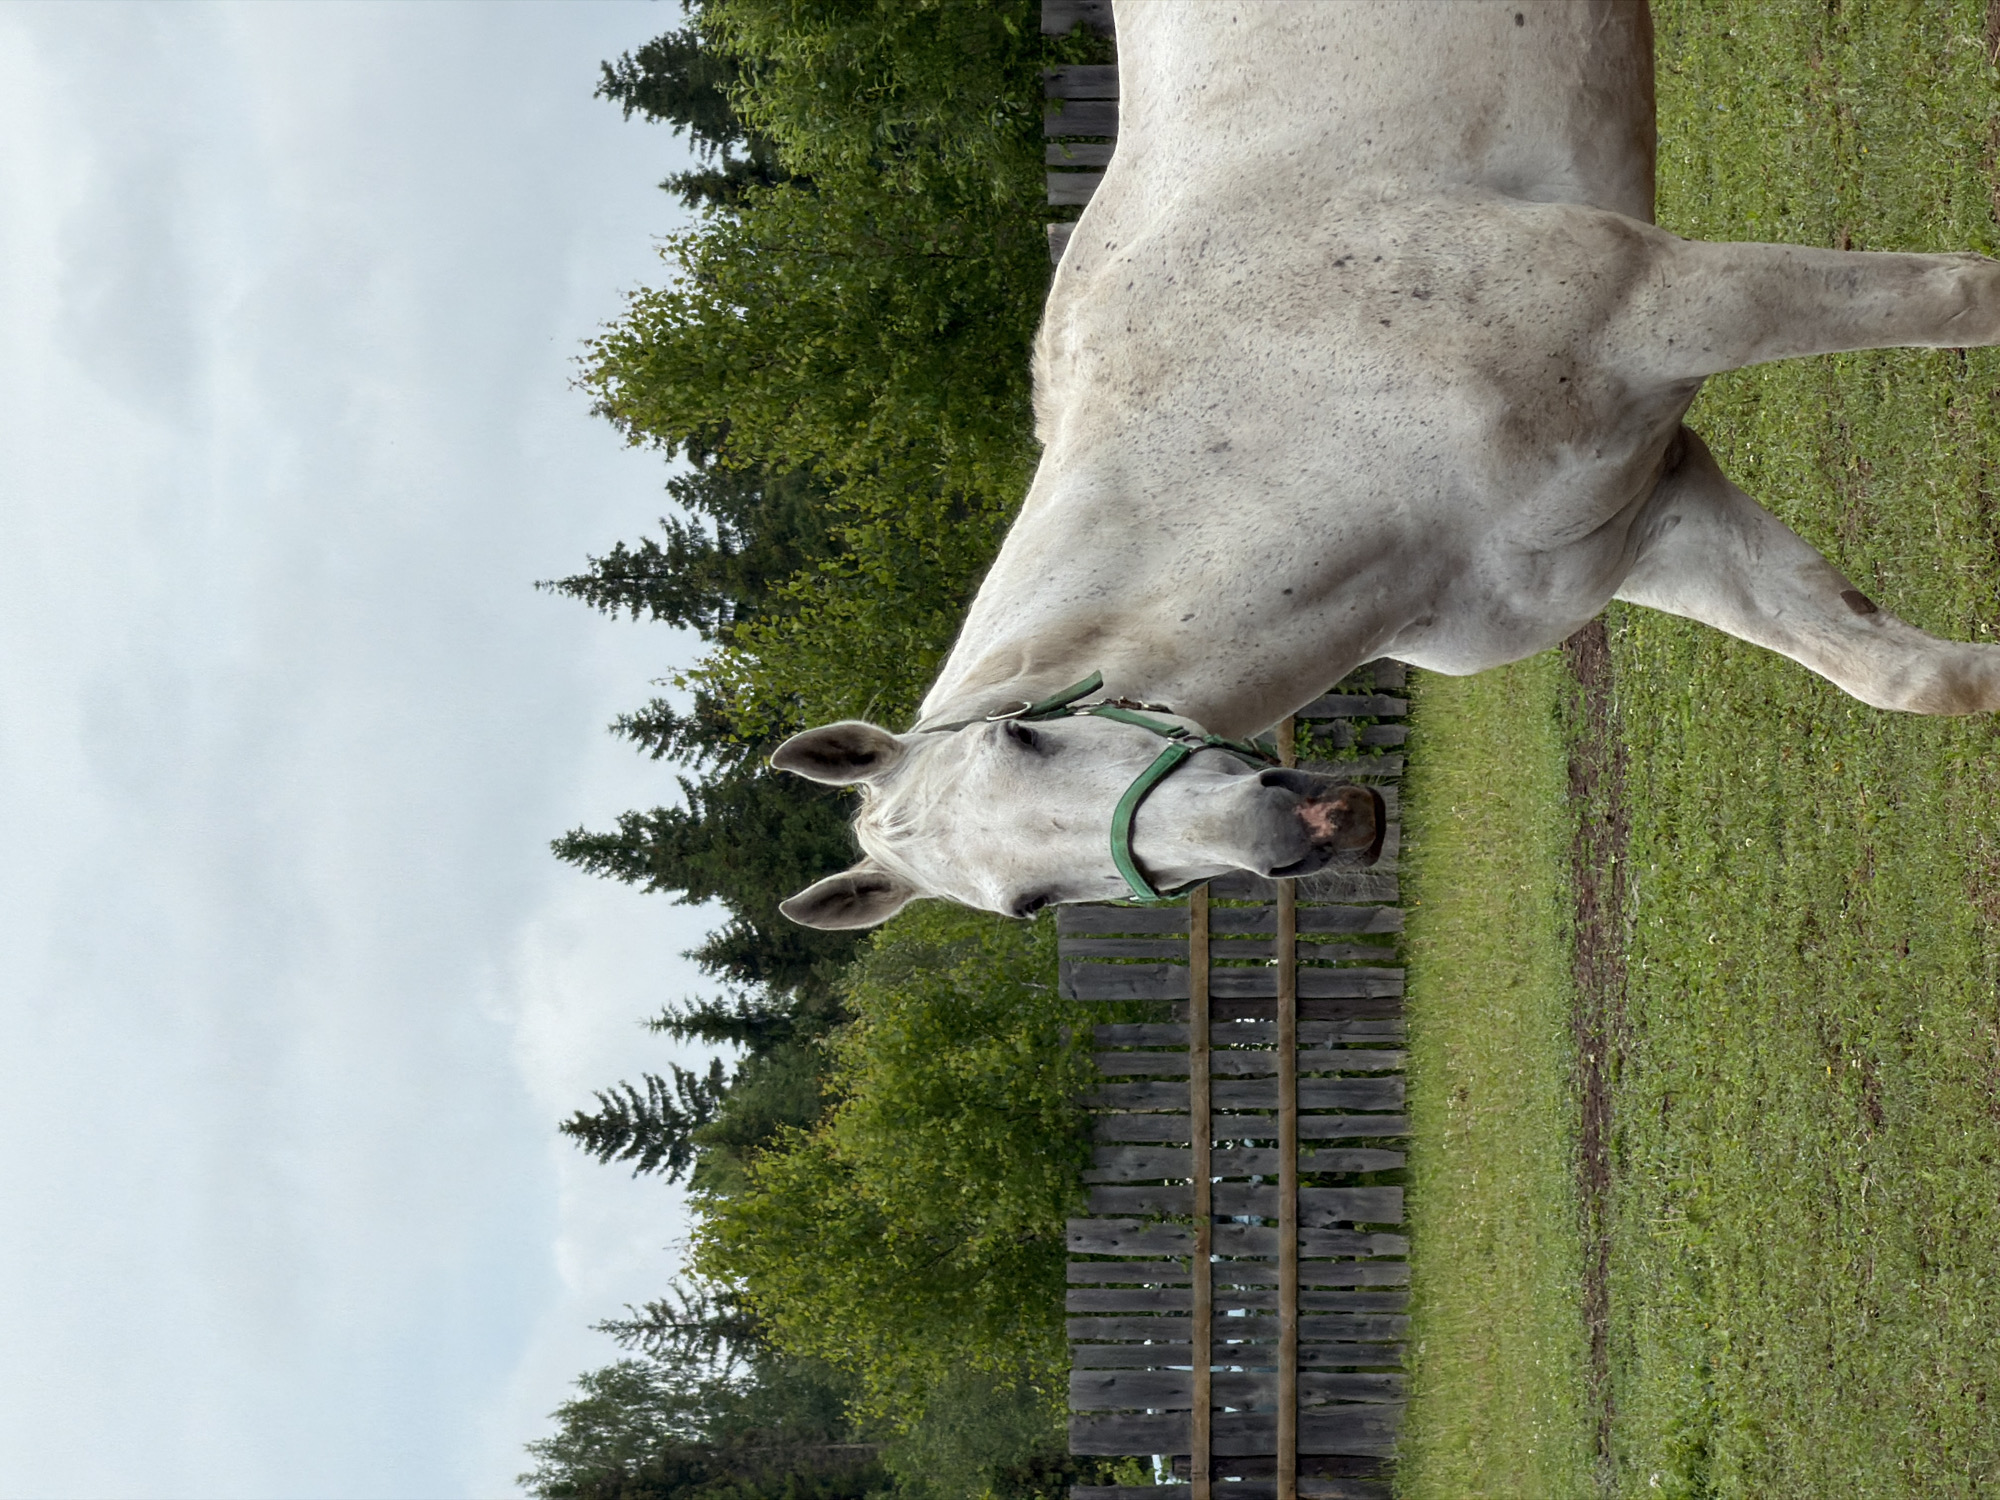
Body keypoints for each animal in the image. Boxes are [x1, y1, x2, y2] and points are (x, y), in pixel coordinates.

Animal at [772, 0, 2000, 930]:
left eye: (1022, 734)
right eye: (1030, 903)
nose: (1298, 827)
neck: (1287, 422)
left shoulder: (1675, 304)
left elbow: (1962, 297)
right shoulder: (1652, 524)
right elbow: (1897, 673)